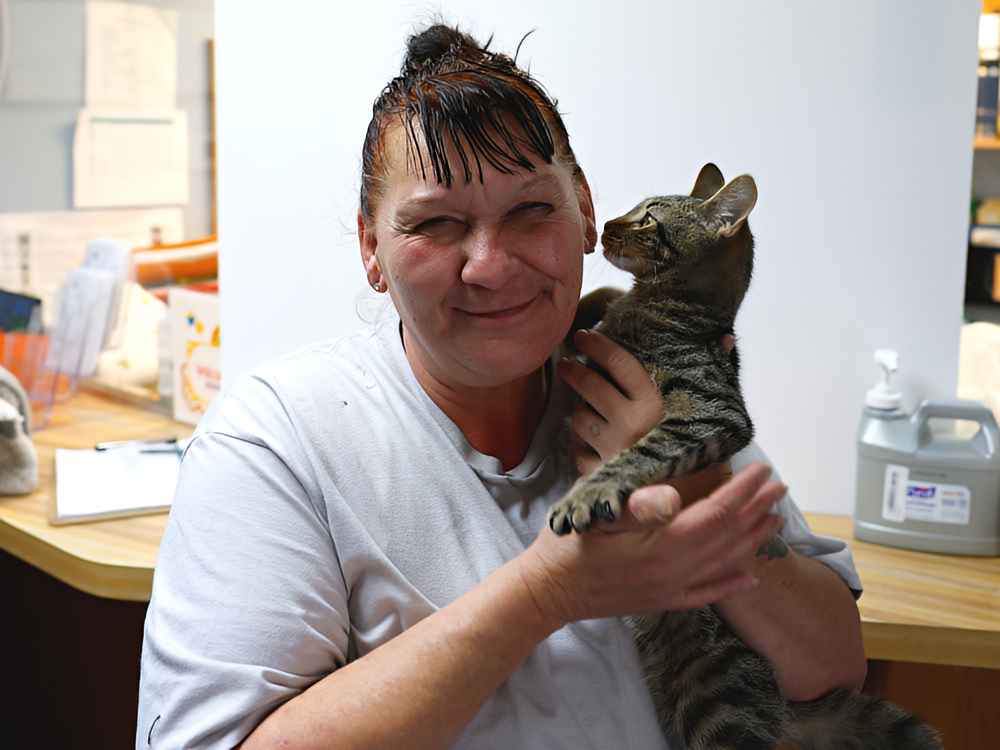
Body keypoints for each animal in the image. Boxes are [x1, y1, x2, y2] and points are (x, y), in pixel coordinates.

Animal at [548, 166, 936, 750]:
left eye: (648, 217)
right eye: (632, 209)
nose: (610, 224)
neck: (661, 308)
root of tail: (780, 704)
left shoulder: (711, 414)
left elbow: (641, 451)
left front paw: (588, 493)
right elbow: (593, 305)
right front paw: (589, 302)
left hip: (717, 710)